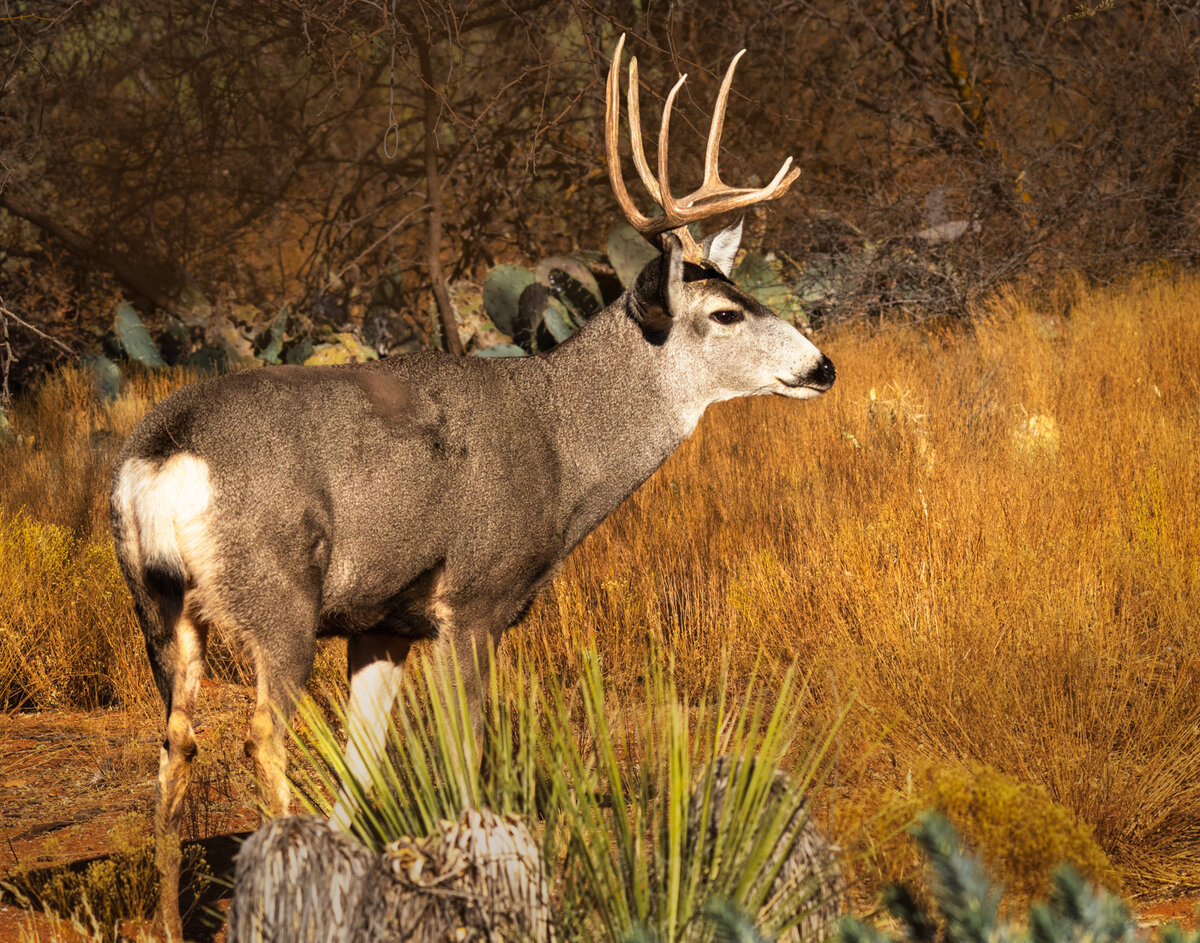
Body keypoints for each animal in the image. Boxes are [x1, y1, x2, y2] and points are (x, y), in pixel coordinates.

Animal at [110, 35, 835, 937]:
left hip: (158, 604)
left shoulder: (381, 622)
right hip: (277, 595)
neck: (562, 445)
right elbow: (464, 762)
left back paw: (170, 919)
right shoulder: (476, 598)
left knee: (175, 743)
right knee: (260, 737)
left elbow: (362, 769)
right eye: (726, 315)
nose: (823, 366)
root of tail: (162, 455)